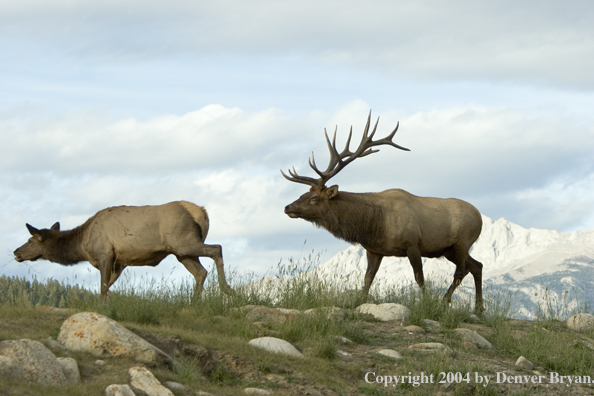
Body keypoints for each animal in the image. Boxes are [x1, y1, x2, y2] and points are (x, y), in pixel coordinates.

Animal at [12, 201, 234, 300]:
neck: (82, 244)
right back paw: (193, 302)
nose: (16, 252)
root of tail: (202, 212)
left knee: (217, 249)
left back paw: (227, 289)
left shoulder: (105, 253)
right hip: (182, 252)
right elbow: (107, 287)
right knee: (200, 272)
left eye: (30, 240)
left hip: (183, 242)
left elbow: (102, 287)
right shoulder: (119, 262)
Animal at [280, 113, 480, 314]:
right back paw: (478, 309)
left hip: (463, 242)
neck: (372, 225)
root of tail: (480, 217)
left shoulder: (412, 243)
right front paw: (361, 302)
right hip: (448, 250)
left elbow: (419, 278)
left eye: (314, 197)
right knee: (477, 266)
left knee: (461, 271)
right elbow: (367, 279)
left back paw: (445, 302)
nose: (287, 207)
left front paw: (425, 304)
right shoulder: (374, 250)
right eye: (303, 193)